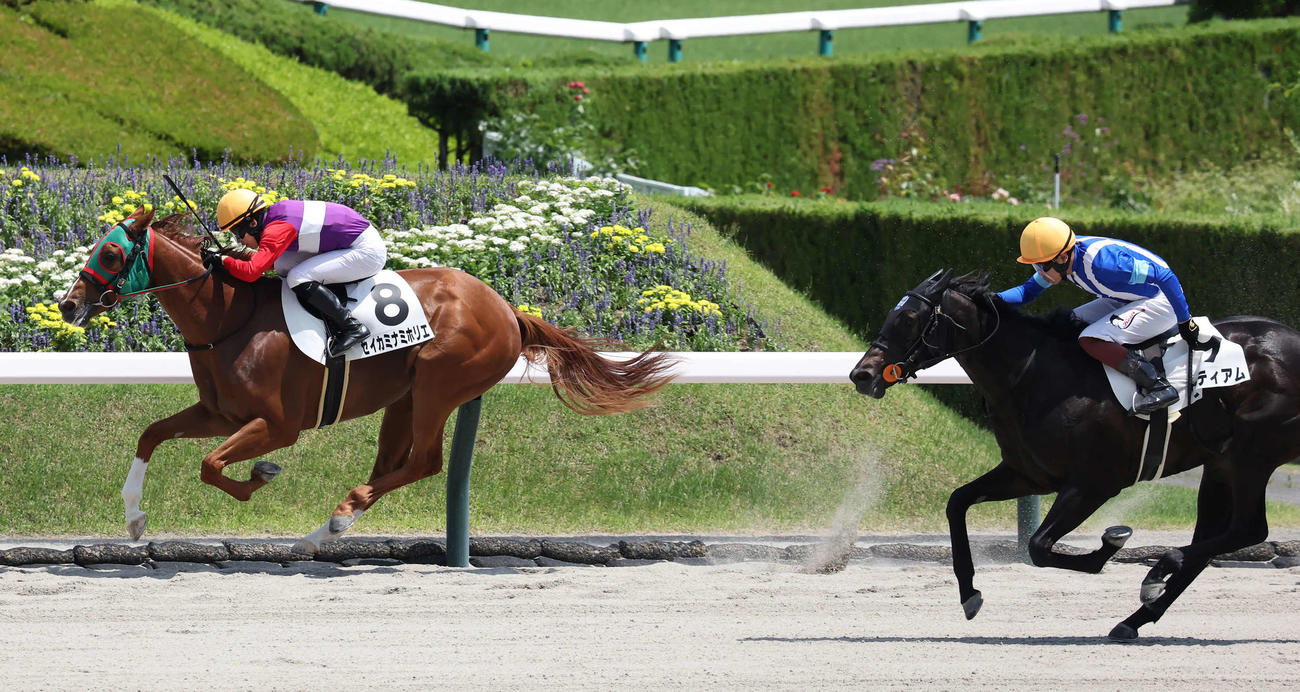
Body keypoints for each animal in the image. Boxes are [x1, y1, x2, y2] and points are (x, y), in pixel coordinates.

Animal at [59, 208, 675, 553]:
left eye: (110, 252)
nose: (67, 305)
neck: (227, 319)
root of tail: (507, 310)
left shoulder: (278, 425)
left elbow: (212, 465)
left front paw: (260, 476)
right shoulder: (219, 412)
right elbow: (152, 435)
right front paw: (134, 519)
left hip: (439, 386)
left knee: (425, 462)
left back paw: (337, 517)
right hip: (404, 399)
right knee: (394, 465)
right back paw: (324, 531)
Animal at [848, 269, 1300, 640]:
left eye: (909, 318)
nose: (861, 374)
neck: (1033, 376)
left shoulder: (1093, 483)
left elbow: (1039, 546)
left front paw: (1112, 543)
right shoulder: (1028, 473)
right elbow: (957, 503)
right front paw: (969, 594)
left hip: (1250, 454)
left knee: (1248, 530)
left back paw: (1157, 571)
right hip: (1220, 462)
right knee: (1210, 541)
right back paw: (1135, 618)